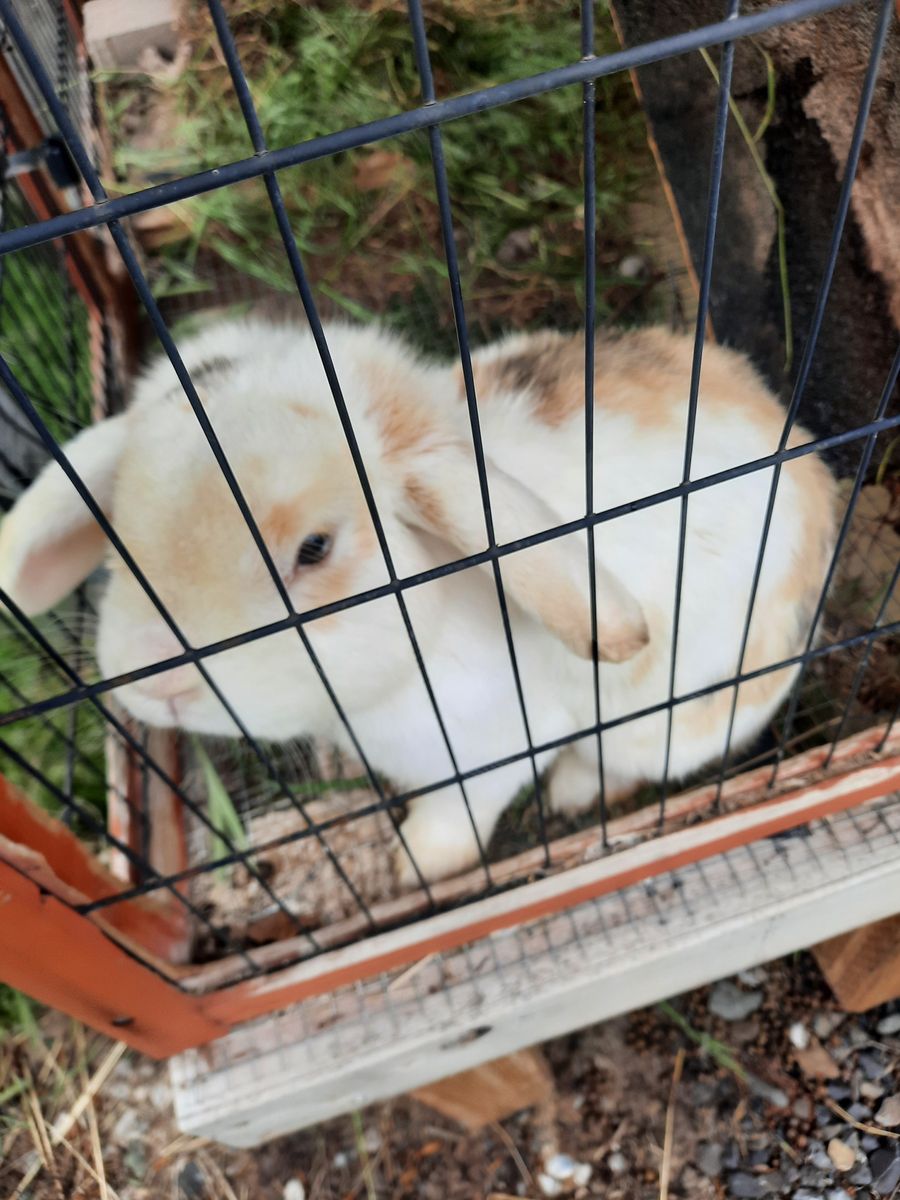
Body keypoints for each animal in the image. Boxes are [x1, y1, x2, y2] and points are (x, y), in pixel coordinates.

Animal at [0, 319, 837, 885]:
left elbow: (455, 818)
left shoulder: (498, 751)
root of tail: (801, 449)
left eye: (315, 549)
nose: (158, 680)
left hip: (673, 719)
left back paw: (572, 793)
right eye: (120, 514)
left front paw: (417, 867)